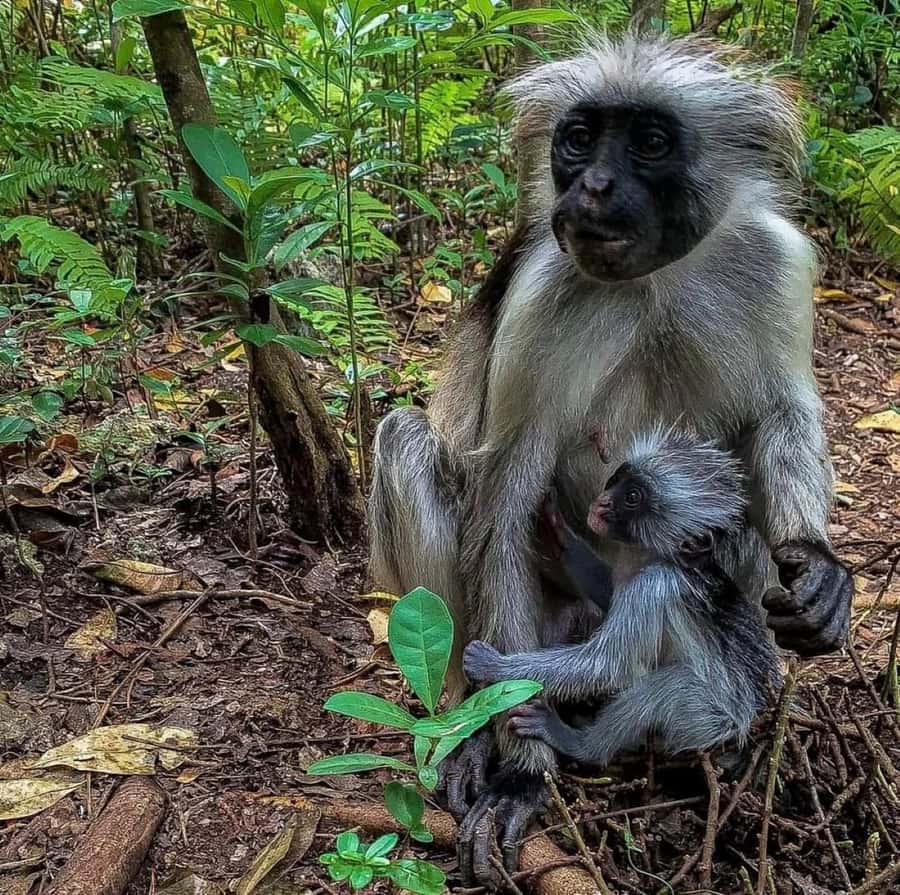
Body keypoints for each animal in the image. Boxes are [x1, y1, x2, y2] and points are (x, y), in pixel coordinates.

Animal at [463, 430, 783, 766]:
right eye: (619, 477)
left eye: (632, 497)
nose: (602, 502)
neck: (660, 559)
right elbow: (609, 592)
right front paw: (561, 536)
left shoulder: (652, 587)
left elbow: (606, 665)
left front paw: (495, 666)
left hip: (712, 723)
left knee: (662, 690)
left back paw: (580, 745)